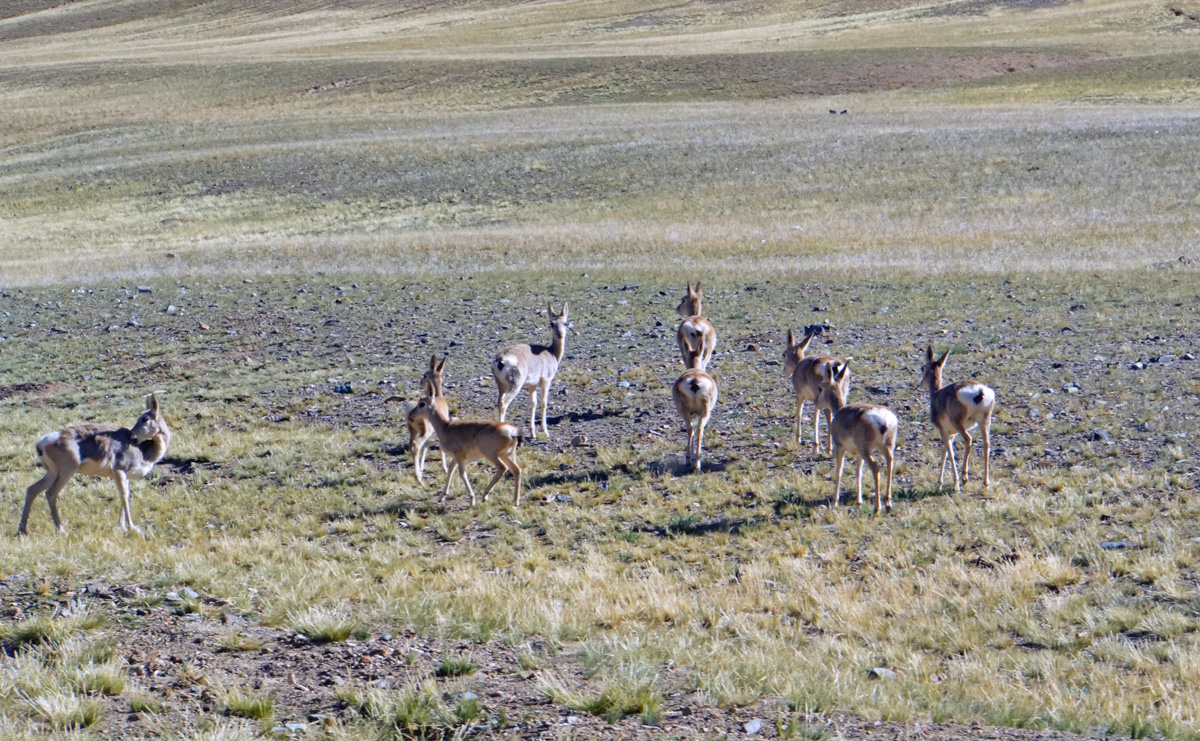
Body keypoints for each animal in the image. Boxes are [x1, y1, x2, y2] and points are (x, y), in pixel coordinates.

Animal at [18, 393, 171, 535]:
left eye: (145, 418)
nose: (131, 435)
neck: (144, 449)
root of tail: (42, 443)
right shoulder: (119, 471)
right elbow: (124, 496)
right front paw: (133, 528)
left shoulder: (125, 476)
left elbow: (124, 496)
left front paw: (121, 527)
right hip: (66, 473)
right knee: (50, 493)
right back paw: (61, 530)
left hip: (52, 473)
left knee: (32, 489)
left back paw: (22, 530)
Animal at [404, 354, 450, 484]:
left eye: (425, 375)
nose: (420, 382)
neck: (438, 398)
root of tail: (411, 407)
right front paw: (445, 468)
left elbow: (425, 448)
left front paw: (422, 467)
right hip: (425, 432)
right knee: (417, 446)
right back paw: (418, 477)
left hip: (414, 431)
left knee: (412, 446)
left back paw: (418, 472)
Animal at [493, 303, 569, 441]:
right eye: (552, 323)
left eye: (565, 323)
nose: (560, 334)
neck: (552, 353)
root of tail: (501, 358)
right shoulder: (546, 382)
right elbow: (544, 403)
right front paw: (545, 431)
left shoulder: (531, 386)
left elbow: (533, 403)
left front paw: (533, 433)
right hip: (515, 386)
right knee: (504, 403)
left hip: (501, 386)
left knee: (499, 402)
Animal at [815, 365, 899, 514]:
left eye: (820, 387)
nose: (815, 402)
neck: (839, 412)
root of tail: (884, 420)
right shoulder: (858, 455)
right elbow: (858, 473)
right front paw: (859, 502)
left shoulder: (839, 447)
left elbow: (839, 470)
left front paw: (835, 501)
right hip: (887, 447)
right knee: (890, 464)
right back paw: (888, 504)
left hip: (866, 450)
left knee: (876, 468)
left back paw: (877, 508)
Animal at [919, 346, 996, 491]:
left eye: (922, 367)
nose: (921, 384)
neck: (936, 395)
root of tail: (980, 391)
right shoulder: (951, 434)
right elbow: (944, 452)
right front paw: (940, 483)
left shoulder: (944, 431)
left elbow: (950, 452)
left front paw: (955, 483)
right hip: (984, 421)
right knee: (986, 444)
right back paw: (986, 482)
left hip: (959, 425)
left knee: (968, 439)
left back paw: (964, 477)